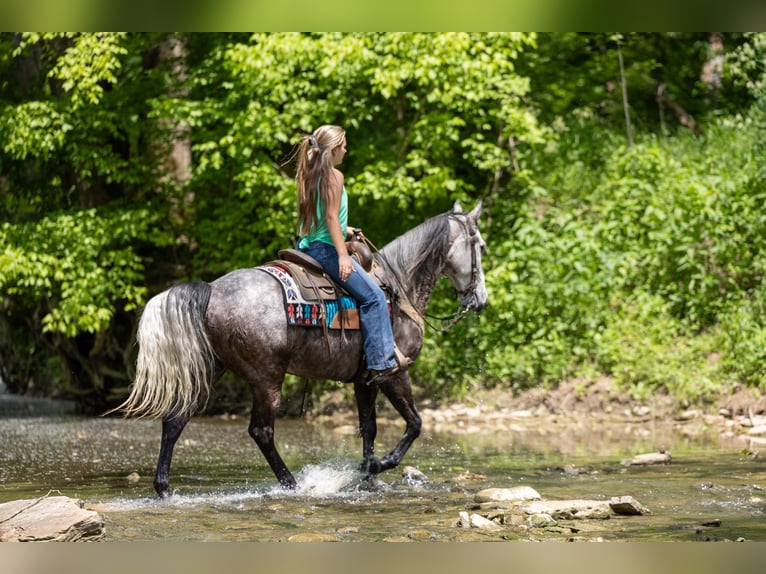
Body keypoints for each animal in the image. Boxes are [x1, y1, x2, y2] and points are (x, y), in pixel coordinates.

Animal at [114, 202, 486, 500]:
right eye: (480, 245)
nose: (480, 299)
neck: (398, 285)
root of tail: (211, 289)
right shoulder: (393, 373)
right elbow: (415, 424)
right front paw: (378, 466)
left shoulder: (364, 380)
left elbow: (369, 428)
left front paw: (368, 476)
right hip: (266, 378)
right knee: (261, 431)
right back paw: (292, 483)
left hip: (212, 369)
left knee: (175, 420)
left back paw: (164, 488)